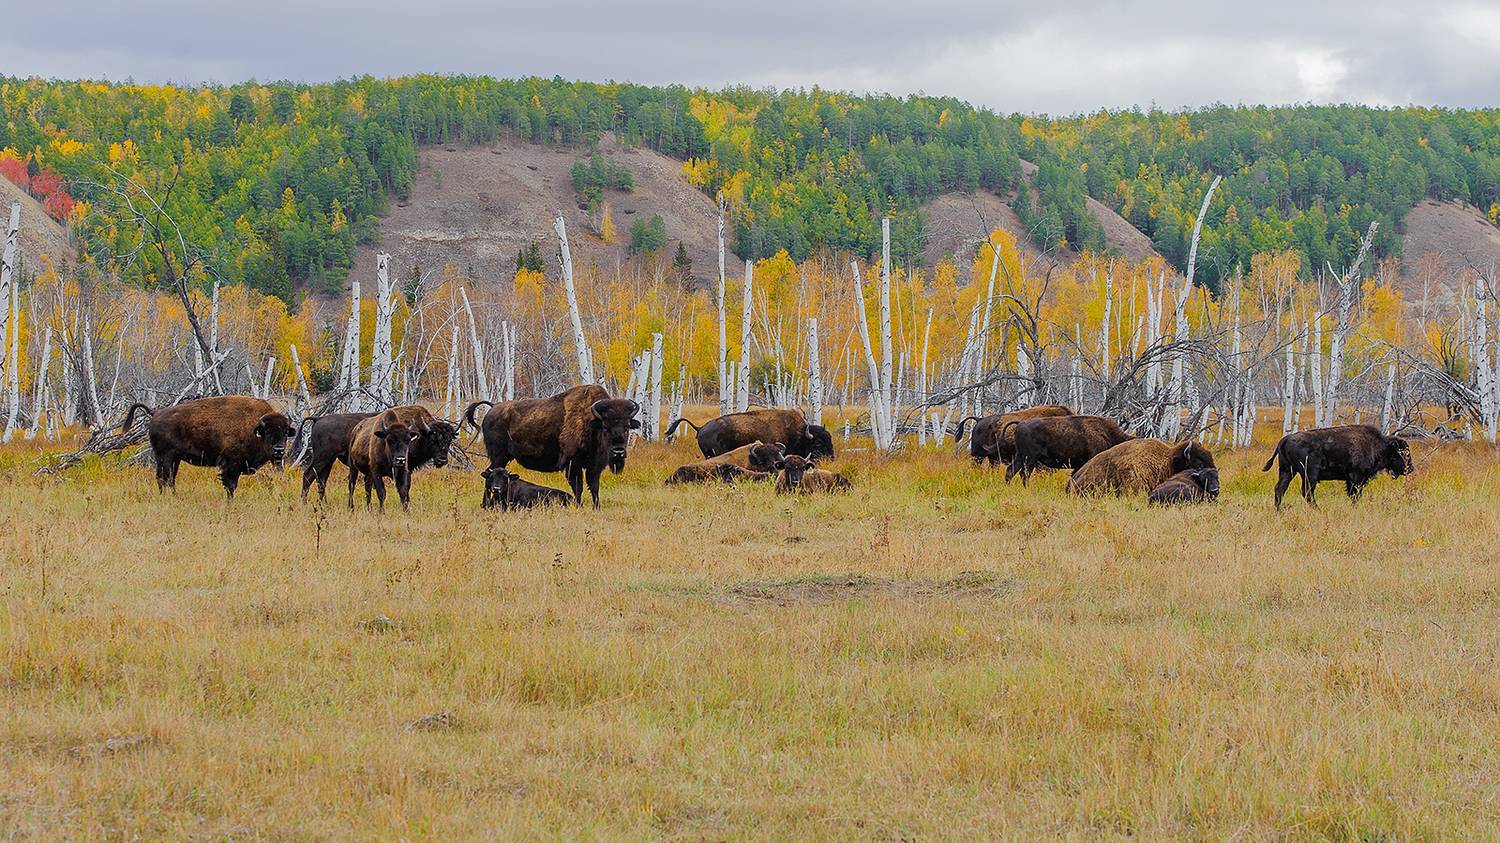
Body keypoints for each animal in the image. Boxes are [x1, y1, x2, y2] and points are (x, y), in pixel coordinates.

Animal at [121, 396, 294, 498]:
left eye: (286, 433)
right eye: (268, 432)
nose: (279, 450)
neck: (254, 428)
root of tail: (155, 413)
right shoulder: (231, 465)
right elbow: (231, 486)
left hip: (174, 458)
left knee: (169, 478)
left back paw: (173, 496)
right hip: (165, 457)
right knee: (163, 477)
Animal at [462, 384, 639, 510]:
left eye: (627, 427)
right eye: (605, 427)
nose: (618, 452)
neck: (590, 421)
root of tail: (493, 408)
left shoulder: (595, 466)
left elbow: (593, 486)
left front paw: (597, 507)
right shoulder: (572, 464)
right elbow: (578, 486)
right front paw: (578, 505)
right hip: (498, 456)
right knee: (489, 474)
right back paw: (485, 505)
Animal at [1260, 420, 1410, 504]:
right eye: (1402, 452)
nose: (1410, 468)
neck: (1379, 445)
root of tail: (1285, 439)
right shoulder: (1356, 478)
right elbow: (1355, 494)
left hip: (1287, 470)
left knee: (1280, 489)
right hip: (1309, 474)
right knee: (1307, 492)